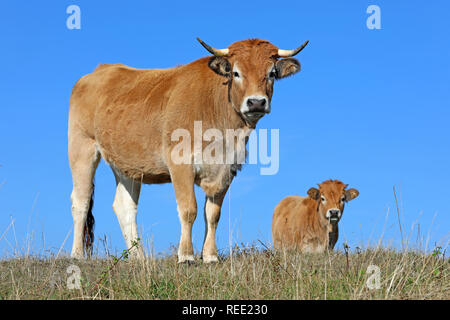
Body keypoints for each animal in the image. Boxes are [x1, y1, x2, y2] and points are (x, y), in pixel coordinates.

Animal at [68, 37, 310, 262]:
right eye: (236, 73)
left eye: (271, 73)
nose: (257, 102)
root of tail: (101, 69)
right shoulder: (180, 165)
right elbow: (188, 210)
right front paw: (186, 255)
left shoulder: (226, 169)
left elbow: (212, 215)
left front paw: (210, 256)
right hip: (82, 148)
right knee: (81, 201)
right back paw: (77, 254)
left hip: (127, 165)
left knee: (124, 206)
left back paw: (139, 257)